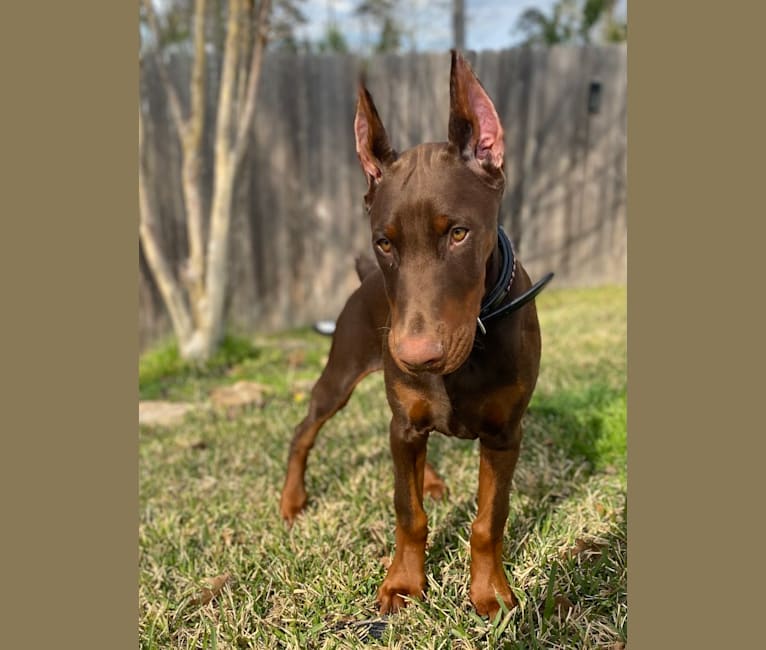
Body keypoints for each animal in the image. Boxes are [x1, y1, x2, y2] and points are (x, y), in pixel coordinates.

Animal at [282, 52, 552, 616]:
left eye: (459, 233)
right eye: (385, 242)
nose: (414, 357)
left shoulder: (505, 433)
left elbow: (489, 520)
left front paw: (489, 592)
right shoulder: (403, 424)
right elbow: (408, 514)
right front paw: (405, 584)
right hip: (341, 375)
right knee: (305, 430)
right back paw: (292, 500)